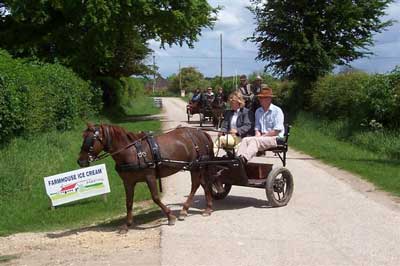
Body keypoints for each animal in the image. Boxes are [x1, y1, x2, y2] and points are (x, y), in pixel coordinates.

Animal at [77, 123, 216, 230]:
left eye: (90, 139)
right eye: (83, 136)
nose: (80, 161)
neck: (132, 152)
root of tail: (201, 133)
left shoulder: (150, 177)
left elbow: (155, 197)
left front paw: (170, 216)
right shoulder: (128, 182)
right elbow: (128, 202)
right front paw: (127, 225)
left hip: (195, 166)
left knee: (196, 184)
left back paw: (184, 210)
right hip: (197, 167)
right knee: (204, 183)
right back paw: (208, 208)